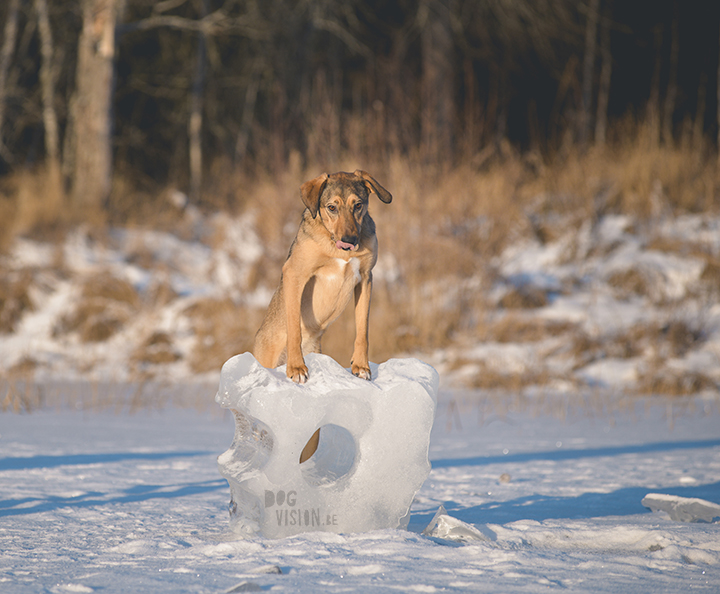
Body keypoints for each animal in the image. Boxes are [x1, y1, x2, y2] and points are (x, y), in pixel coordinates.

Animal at [250, 169, 390, 460]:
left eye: (358, 205)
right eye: (331, 207)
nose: (350, 240)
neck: (335, 247)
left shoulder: (366, 279)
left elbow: (362, 330)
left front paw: (361, 366)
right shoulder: (295, 275)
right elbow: (293, 327)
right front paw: (296, 368)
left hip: (312, 436)